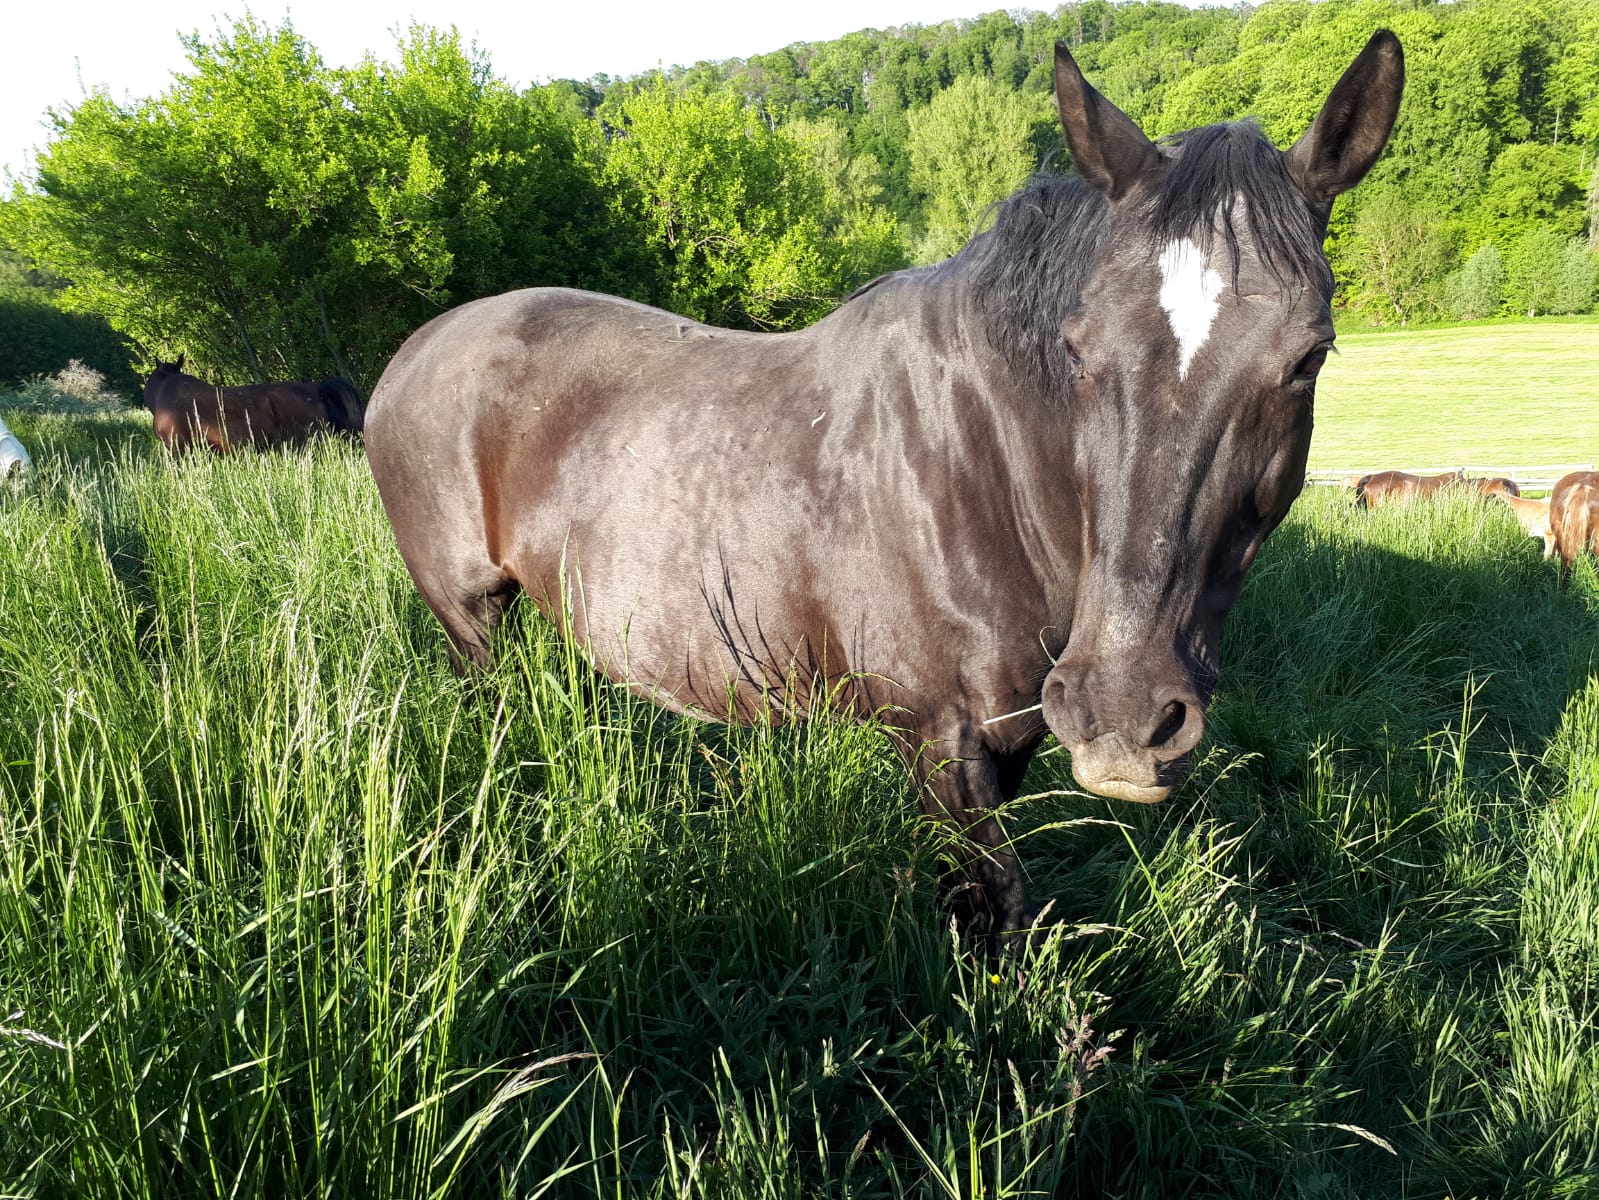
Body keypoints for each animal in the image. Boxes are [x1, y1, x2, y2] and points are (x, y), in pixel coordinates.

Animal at [367, 35, 1407, 940]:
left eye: (1308, 358)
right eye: (1077, 348)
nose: (1123, 717)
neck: (985, 468)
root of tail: (409, 355)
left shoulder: (1006, 734)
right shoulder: (939, 740)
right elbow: (993, 913)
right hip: (470, 624)